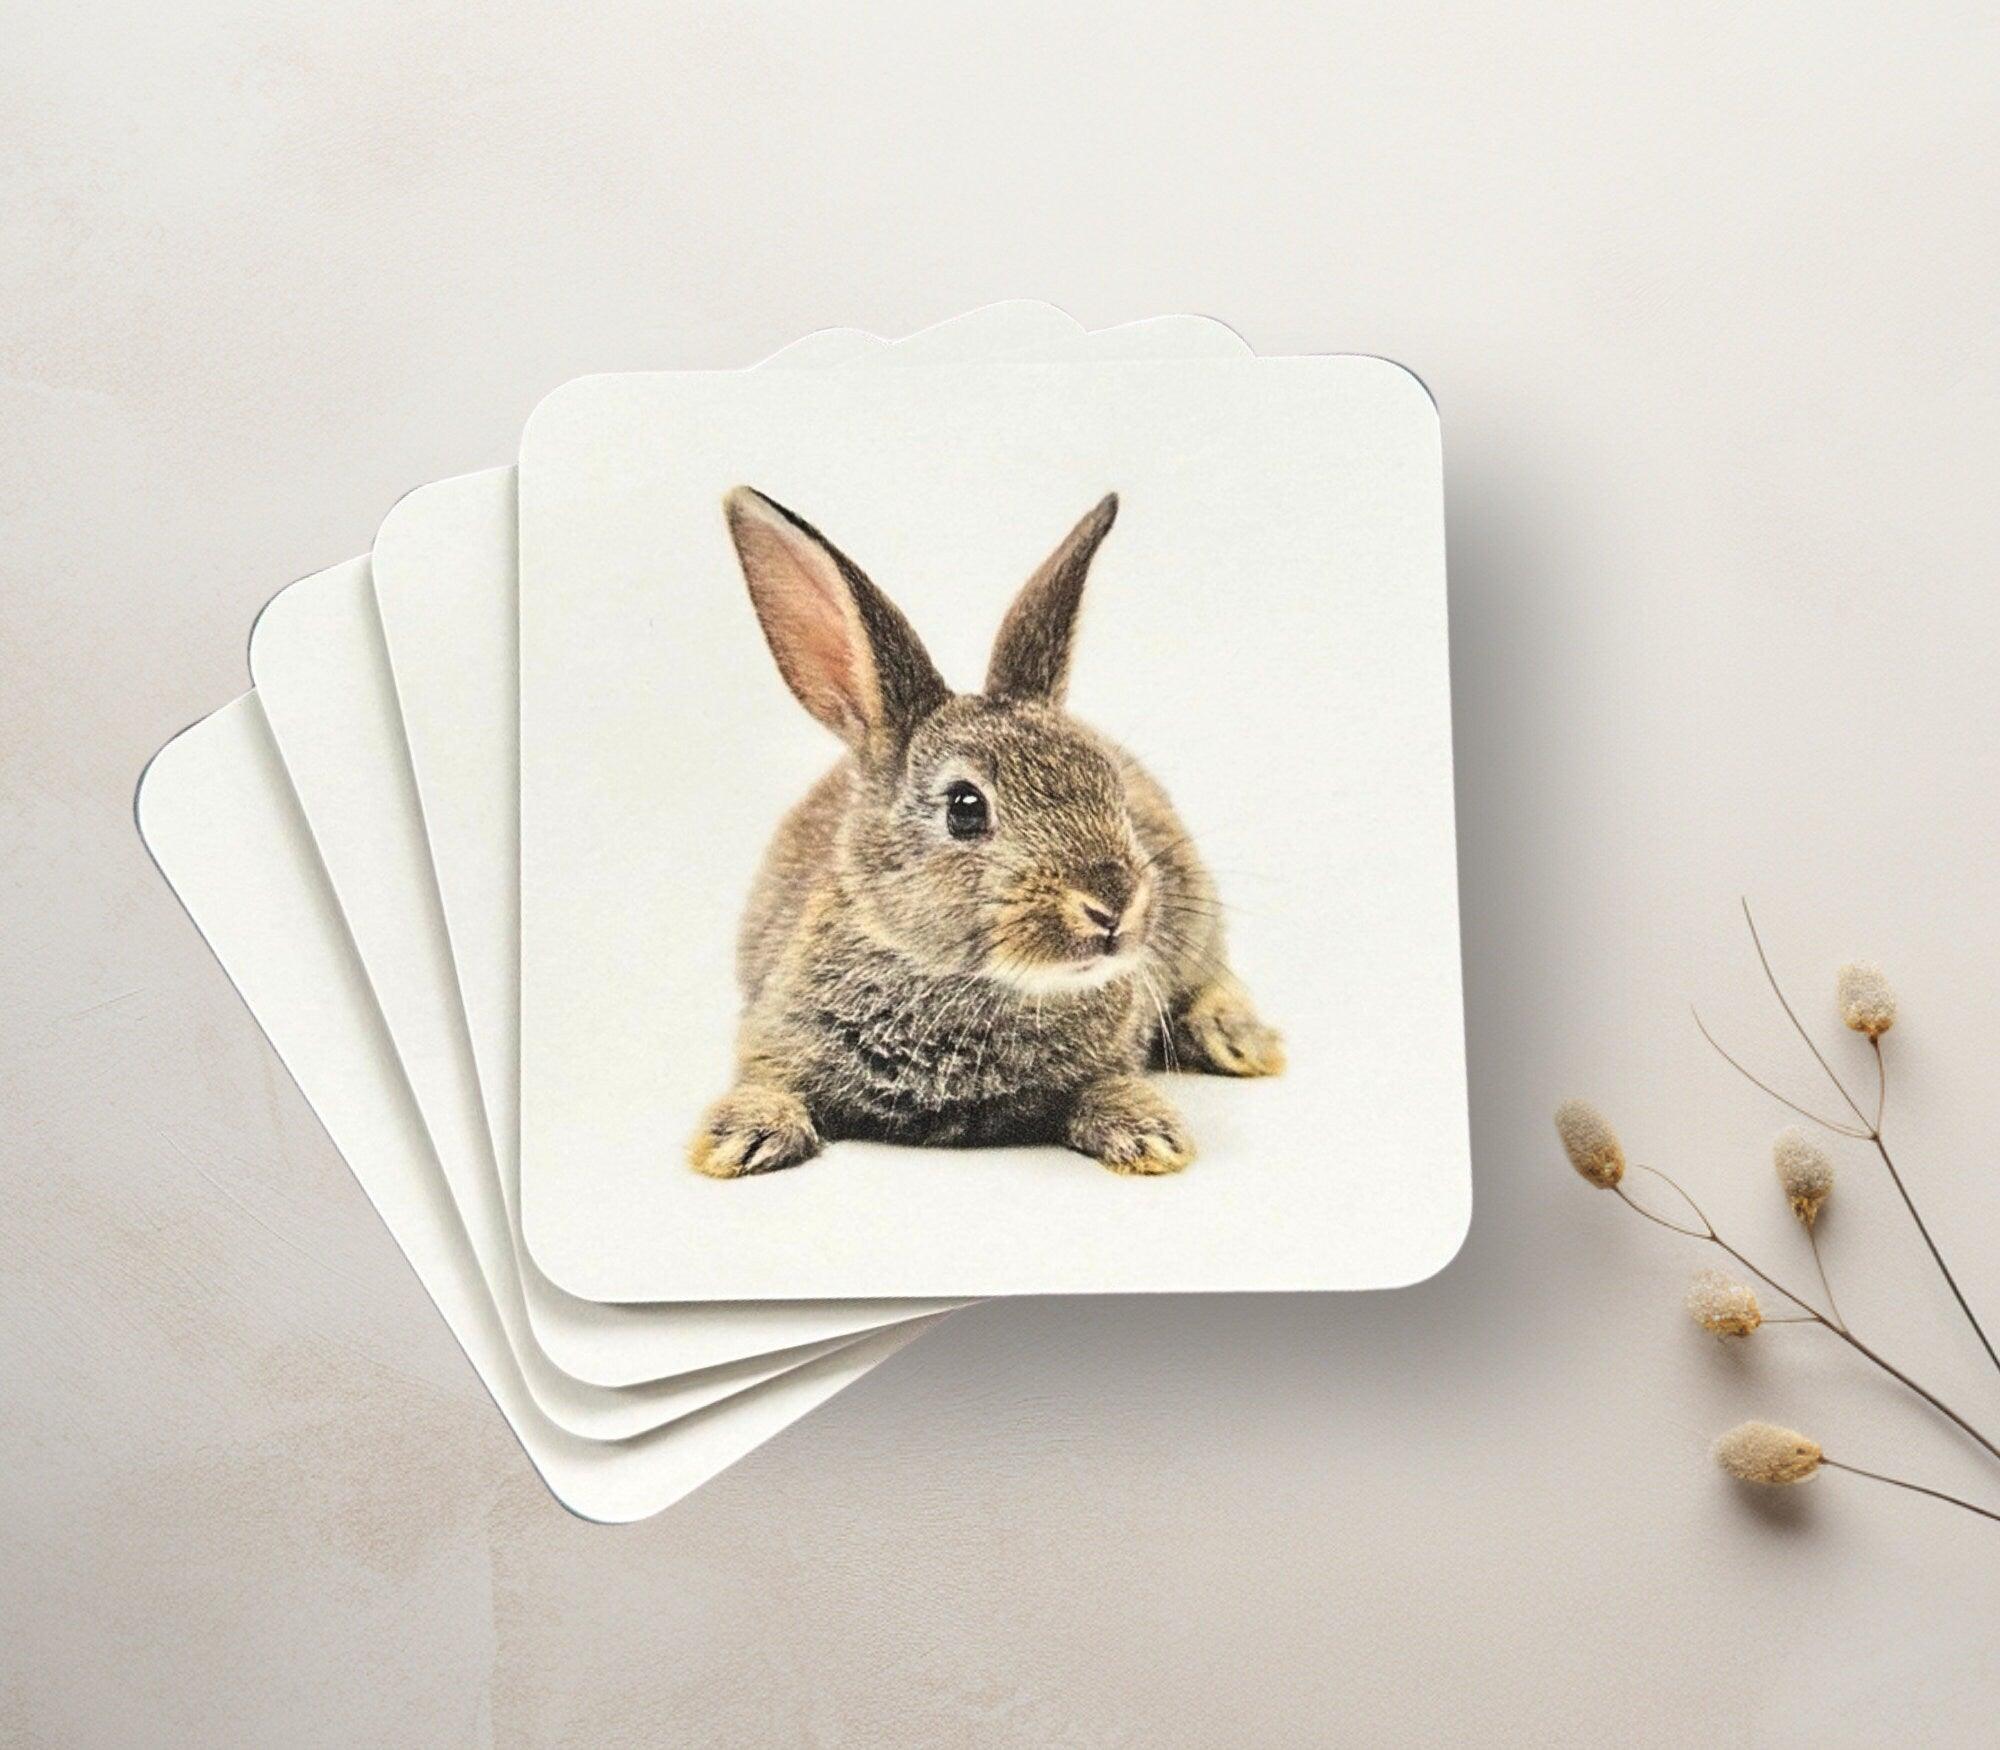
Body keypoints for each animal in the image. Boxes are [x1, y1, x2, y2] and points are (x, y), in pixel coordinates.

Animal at [688, 485, 1283, 1179]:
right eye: (965, 808)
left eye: (1111, 784)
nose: (1114, 905)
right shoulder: (773, 1035)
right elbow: (766, 1083)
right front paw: (740, 1140)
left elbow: (1110, 1085)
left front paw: (1152, 1136)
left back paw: (1240, 1041)